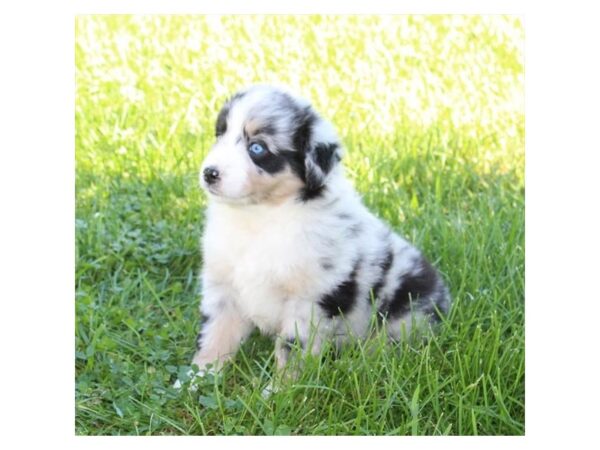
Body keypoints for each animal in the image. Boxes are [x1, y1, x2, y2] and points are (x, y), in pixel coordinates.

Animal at [190, 85, 448, 380]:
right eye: (219, 134)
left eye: (257, 147)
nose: (209, 173)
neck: (261, 217)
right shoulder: (223, 286)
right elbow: (215, 335)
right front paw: (197, 378)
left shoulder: (311, 299)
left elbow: (292, 349)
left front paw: (282, 389)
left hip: (406, 312)